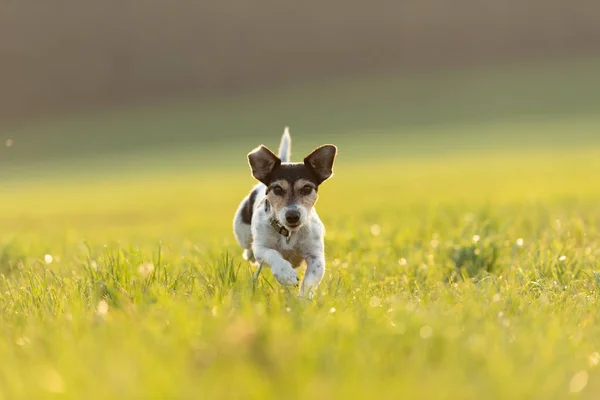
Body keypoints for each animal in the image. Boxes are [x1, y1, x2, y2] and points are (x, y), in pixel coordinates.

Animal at [233, 127, 338, 296]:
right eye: (277, 189)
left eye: (307, 188)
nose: (292, 216)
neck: (289, 234)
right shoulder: (261, 248)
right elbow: (273, 254)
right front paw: (285, 274)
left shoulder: (316, 257)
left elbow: (309, 281)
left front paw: (303, 298)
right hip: (242, 233)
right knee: (249, 251)